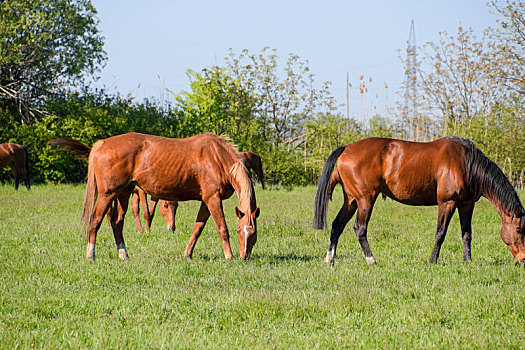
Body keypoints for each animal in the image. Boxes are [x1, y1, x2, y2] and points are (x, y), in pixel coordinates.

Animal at [52, 133, 258, 262]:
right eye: (239, 231)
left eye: (254, 234)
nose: (245, 256)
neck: (217, 158)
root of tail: (101, 143)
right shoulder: (212, 199)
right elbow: (222, 228)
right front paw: (229, 256)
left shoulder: (207, 201)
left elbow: (197, 229)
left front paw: (187, 254)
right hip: (107, 194)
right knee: (95, 220)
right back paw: (90, 255)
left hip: (123, 193)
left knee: (117, 223)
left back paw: (123, 255)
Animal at [314, 137, 520, 266]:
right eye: (519, 229)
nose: (522, 259)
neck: (466, 163)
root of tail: (346, 148)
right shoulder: (447, 202)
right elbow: (440, 232)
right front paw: (432, 260)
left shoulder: (466, 204)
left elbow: (467, 234)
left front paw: (467, 261)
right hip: (365, 200)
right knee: (360, 228)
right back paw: (371, 260)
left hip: (351, 200)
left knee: (337, 225)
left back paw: (330, 259)